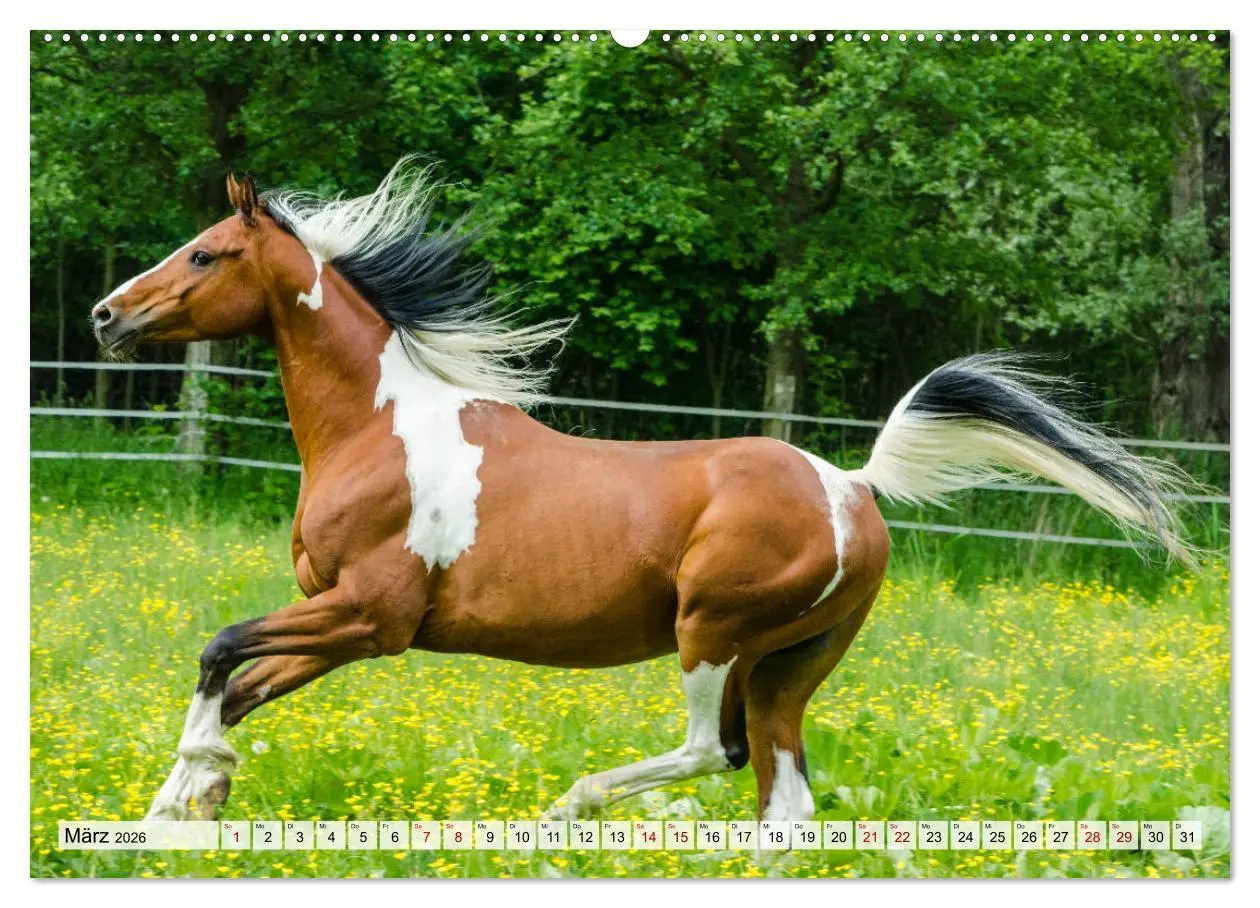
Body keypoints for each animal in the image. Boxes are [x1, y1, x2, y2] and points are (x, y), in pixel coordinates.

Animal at [89, 160, 1196, 824]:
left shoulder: (371, 614)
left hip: (713, 631)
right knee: (783, 801)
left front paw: (179, 801)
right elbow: (235, 686)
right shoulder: (343, 621)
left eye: (205, 252)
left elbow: (217, 653)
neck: (378, 430)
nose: (106, 314)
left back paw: (570, 806)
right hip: (791, 664)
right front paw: (180, 809)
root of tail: (852, 484)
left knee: (711, 750)